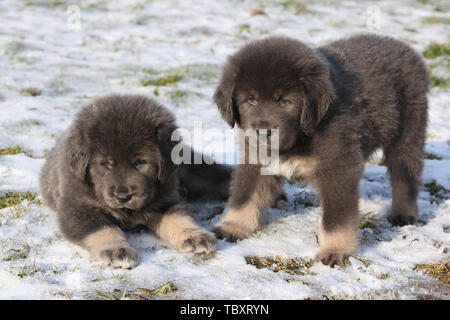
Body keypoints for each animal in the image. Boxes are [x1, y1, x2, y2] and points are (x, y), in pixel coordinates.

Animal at [40, 94, 230, 268]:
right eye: (106, 163)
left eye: (140, 162)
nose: (123, 197)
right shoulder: (78, 209)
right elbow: (104, 230)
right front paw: (117, 250)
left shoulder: (164, 200)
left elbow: (179, 217)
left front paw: (195, 235)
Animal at [213, 34, 430, 268]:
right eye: (250, 99)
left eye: (284, 101)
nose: (263, 132)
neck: (299, 138)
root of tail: (405, 48)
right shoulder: (254, 159)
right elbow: (244, 196)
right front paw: (232, 226)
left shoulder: (338, 167)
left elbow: (336, 219)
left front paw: (334, 250)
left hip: (408, 133)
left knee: (404, 177)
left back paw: (403, 213)